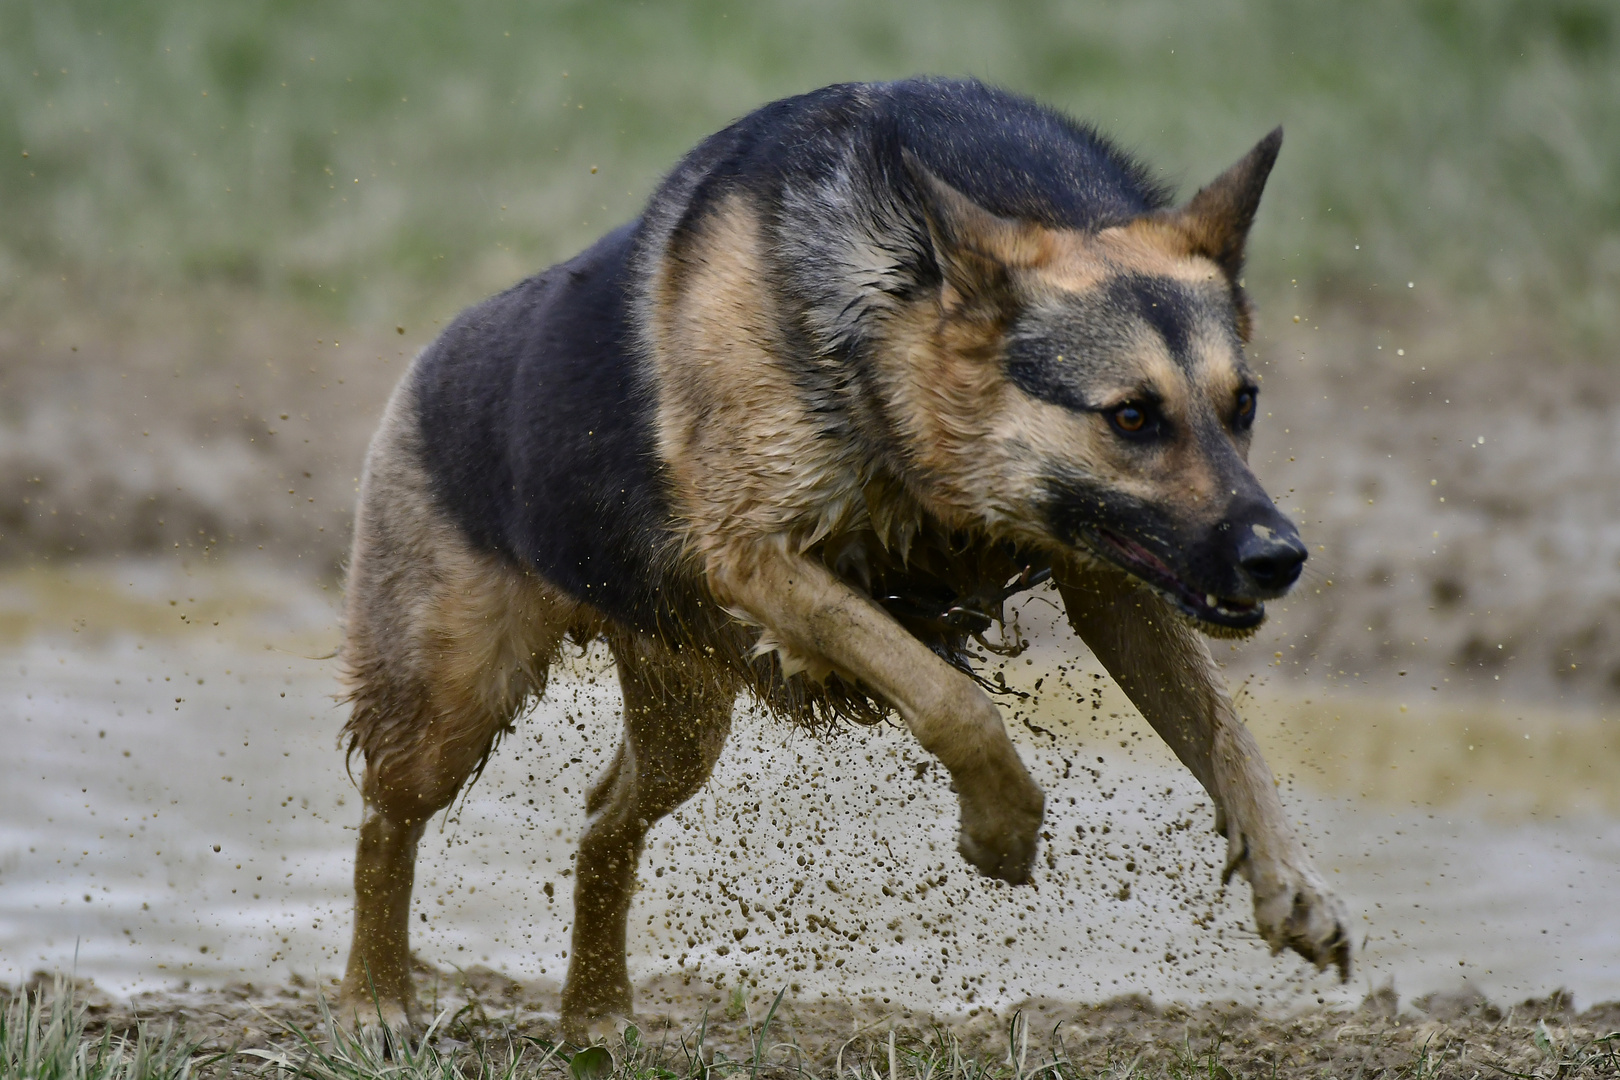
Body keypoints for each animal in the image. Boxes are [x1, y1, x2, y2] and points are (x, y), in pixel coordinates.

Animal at [338, 76, 1354, 1036]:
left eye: (1244, 403)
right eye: (1133, 416)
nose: (1280, 558)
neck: (898, 309)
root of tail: (427, 361)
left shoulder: (1111, 578)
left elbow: (1227, 738)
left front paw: (1289, 883)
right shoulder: (758, 557)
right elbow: (953, 702)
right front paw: (1002, 826)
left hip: (680, 721)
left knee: (603, 826)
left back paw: (596, 1013)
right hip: (453, 700)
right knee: (387, 826)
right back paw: (377, 1002)